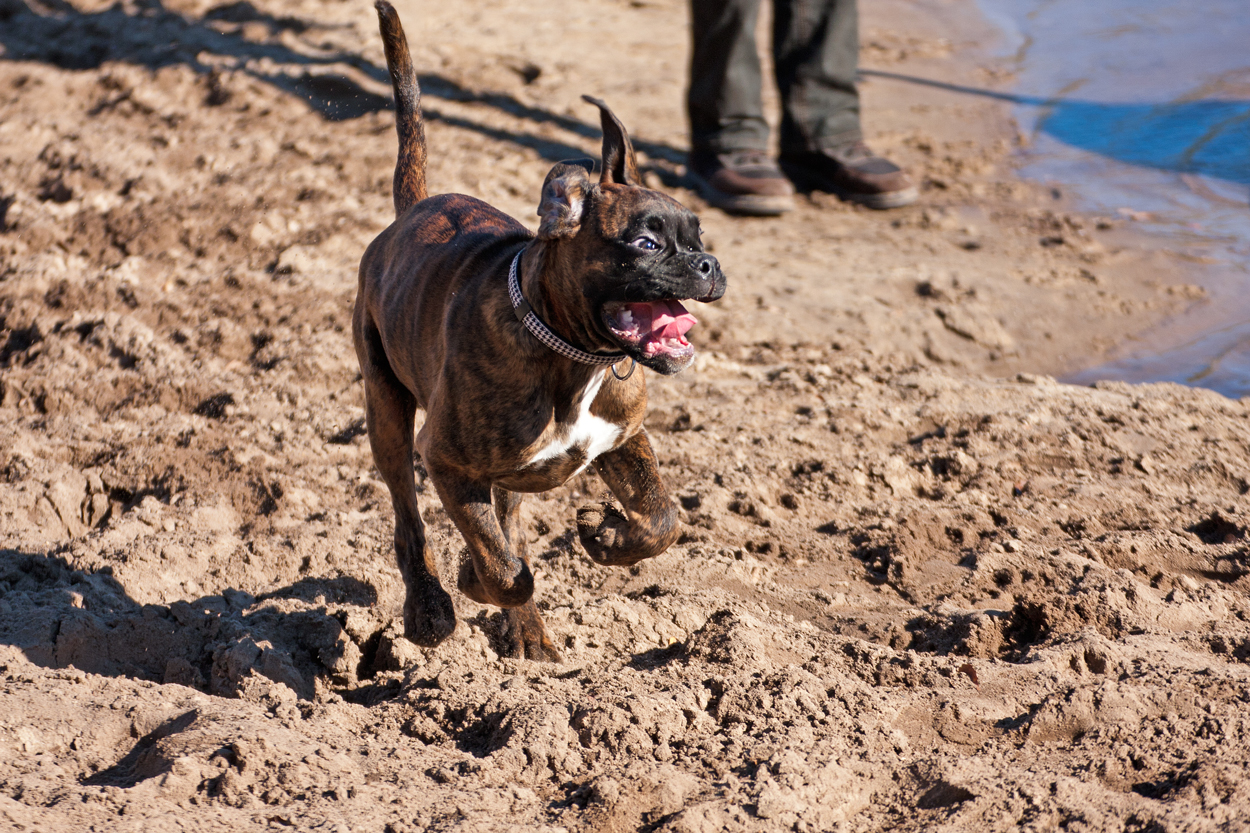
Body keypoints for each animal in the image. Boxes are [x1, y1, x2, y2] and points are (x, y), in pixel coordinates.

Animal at [355, 1, 725, 660]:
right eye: (645, 243)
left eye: (697, 237)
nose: (706, 264)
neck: (573, 354)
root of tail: (410, 212)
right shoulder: (446, 461)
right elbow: (504, 568)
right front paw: (473, 582)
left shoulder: (624, 440)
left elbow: (662, 520)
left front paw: (608, 537)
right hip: (388, 415)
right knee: (409, 517)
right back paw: (430, 607)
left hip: (498, 471)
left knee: (508, 526)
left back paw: (526, 633)